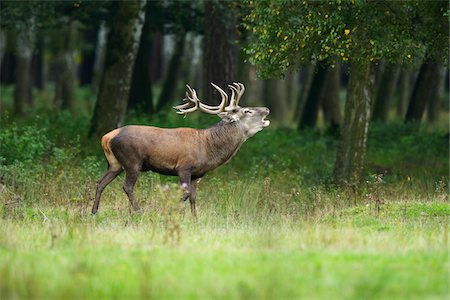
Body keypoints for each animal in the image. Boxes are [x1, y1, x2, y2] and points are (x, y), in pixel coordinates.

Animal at [89, 82, 268, 218]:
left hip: (115, 163)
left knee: (100, 182)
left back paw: (94, 212)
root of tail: (106, 137)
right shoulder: (183, 167)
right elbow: (186, 193)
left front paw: (195, 220)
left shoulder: (197, 174)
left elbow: (194, 197)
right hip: (132, 161)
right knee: (127, 186)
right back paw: (139, 212)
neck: (207, 149)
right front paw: (168, 213)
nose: (267, 109)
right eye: (247, 111)